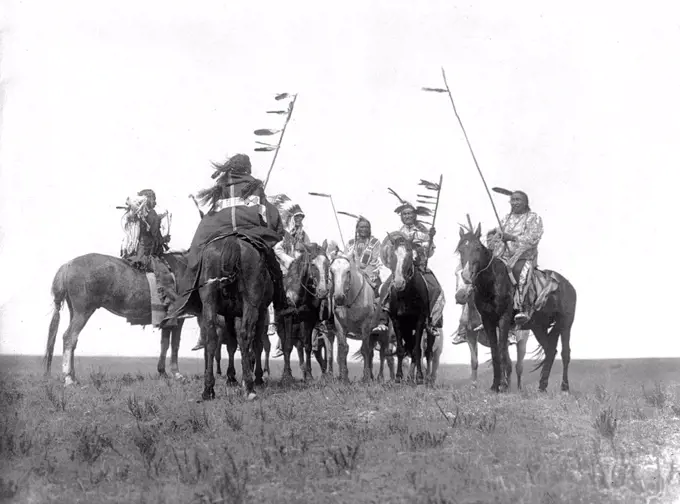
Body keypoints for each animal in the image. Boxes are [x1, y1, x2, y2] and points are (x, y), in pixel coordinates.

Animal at [44, 252, 191, 386]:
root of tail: (68, 265)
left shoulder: (167, 321)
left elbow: (165, 344)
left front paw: (163, 372)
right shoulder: (178, 319)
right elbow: (175, 345)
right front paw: (177, 375)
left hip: (74, 312)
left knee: (73, 340)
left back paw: (73, 377)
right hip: (83, 313)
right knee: (69, 337)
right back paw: (68, 379)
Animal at [276, 242, 330, 380]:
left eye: (327, 263)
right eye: (313, 264)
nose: (323, 291)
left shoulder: (308, 320)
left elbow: (307, 346)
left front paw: (309, 375)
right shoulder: (288, 318)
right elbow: (287, 346)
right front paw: (287, 375)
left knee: (300, 346)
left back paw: (304, 372)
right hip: (281, 324)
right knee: (285, 342)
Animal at [380, 232, 432, 382]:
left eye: (409, 255)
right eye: (392, 255)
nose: (398, 283)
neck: (406, 296)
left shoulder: (420, 320)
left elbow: (417, 349)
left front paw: (419, 377)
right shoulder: (397, 321)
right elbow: (400, 350)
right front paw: (398, 377)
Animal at [454, 222, 576, 392]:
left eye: (477, 248)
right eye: (460, 249)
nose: (466, 276)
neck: (492, 283)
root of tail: (567, 284)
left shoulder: (504, 320)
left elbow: (502, 352)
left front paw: (502, 386)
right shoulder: (487, 322)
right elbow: (494, 353)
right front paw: (494, 386)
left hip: (566, 323)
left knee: (565, 353)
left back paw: (564, 387)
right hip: (539, 327)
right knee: (550, 350)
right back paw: (542, 386)